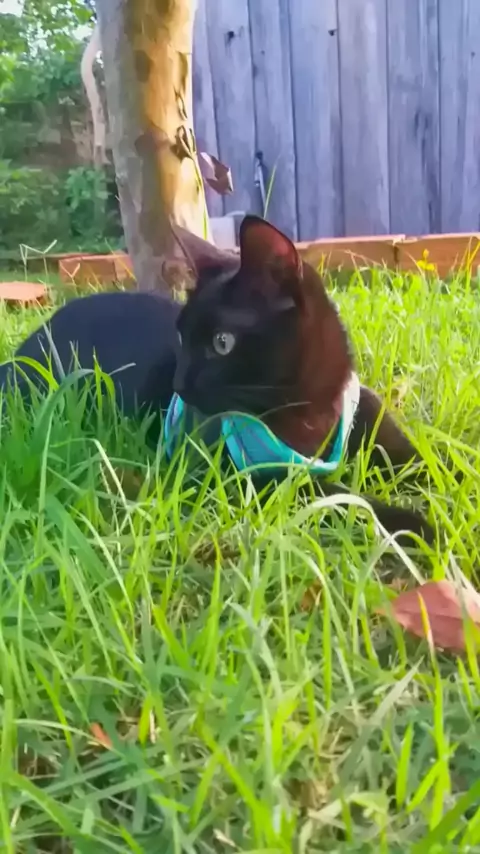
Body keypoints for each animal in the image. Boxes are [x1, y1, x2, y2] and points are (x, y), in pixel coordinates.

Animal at [0, 215, 434, 544]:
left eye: (222, 342)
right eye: (181, 336)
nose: (178, 385)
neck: (311, 412)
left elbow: (435, 463)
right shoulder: (247, 478)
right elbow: (337, 496)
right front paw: (415, 524)